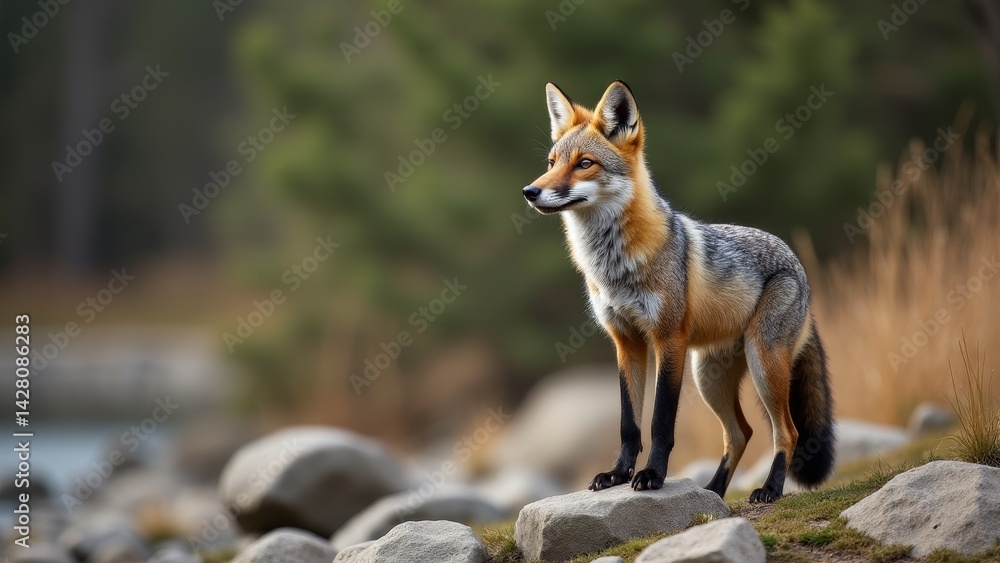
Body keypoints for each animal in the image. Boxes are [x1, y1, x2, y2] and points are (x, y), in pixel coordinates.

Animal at [522, 81, 835, 502]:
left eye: (584, 163)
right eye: (552, 162)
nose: (530, 191)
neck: (613, 268)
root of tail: (796, 263)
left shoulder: (668, 338)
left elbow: (660, 422)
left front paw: (652, 475)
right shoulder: (626, 342)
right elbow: (628, 424)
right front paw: (617, 474)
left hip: (762, 364)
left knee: (787, 431)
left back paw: (769, 489)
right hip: (709, 378)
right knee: (741, 434)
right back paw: (714, 492)